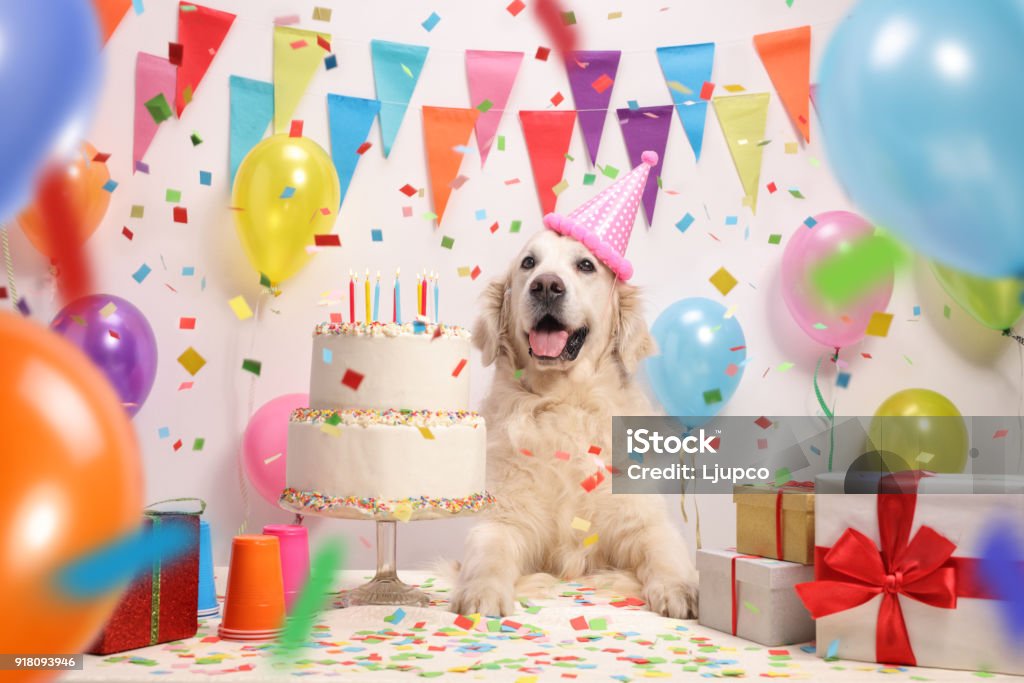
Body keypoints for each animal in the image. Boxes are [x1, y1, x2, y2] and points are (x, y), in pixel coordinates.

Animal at [454, 229, 700, 618]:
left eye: (586, 265)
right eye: (528, 263)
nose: (546, 286)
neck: (563, 401)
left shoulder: (642, 520)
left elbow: (664, 550)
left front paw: (680, 589)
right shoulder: (504, 518)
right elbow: (488, 553)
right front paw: (481, 591)